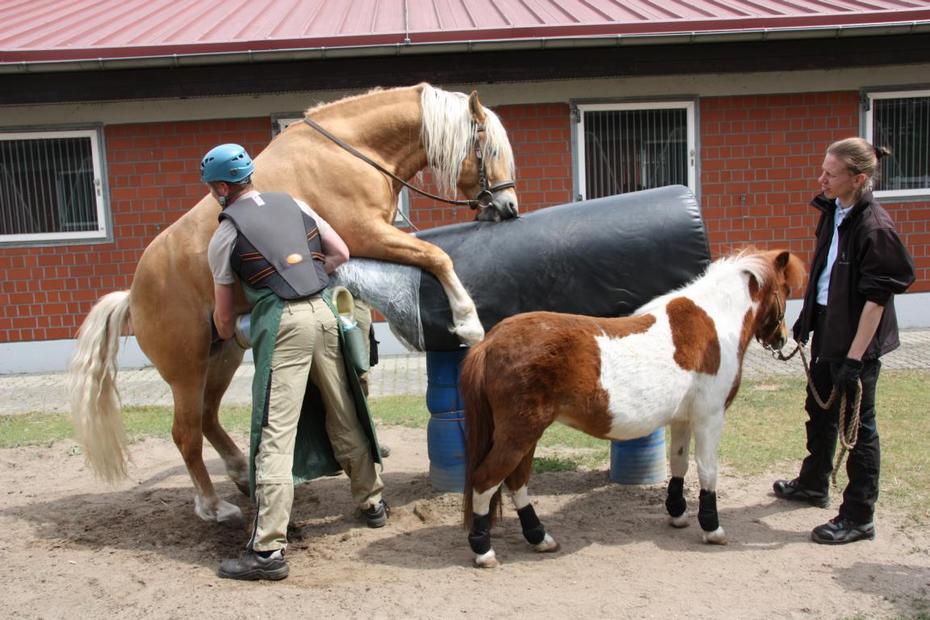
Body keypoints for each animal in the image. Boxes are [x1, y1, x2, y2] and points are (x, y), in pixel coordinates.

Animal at [69, 83, 520, 528]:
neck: (352, 150)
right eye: (491, 149)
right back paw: (214, 506)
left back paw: (240, 473)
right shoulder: (367, 234)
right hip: (186, 370)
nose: (509, 208)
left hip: (223, 356)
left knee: (208, 418)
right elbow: (435, 256)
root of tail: (133, 294)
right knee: (186, 434)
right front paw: (467, 321)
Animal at [460, 247, 800, 568]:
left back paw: (540, 538)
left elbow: (679, 464)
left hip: (527, 434)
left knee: (516, 482)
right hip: (520, 434)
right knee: (486, 480)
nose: (783, 338)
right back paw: (484, 551)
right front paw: (712, 529)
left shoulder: (682, 419)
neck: (714, 323)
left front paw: (677, 514)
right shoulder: (709, 418)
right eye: (785, 290)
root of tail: (489, 343)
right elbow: (707, 471)